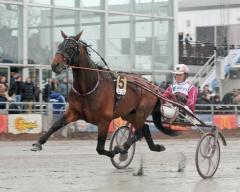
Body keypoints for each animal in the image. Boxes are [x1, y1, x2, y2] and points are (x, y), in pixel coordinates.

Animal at [31, 31, 178, 158]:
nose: (55, 65)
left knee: (139, 131)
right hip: (129, 113)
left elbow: (100, 148)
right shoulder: (73, 112)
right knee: (145, 128)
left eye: (71, 47)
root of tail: (151, 85)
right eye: (60, 46)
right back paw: (155, 147)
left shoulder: (104, 120)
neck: (87, 88)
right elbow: (56, 125)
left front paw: (115, 151)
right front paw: (38, 143)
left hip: (141, 112)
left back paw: (123, 147)